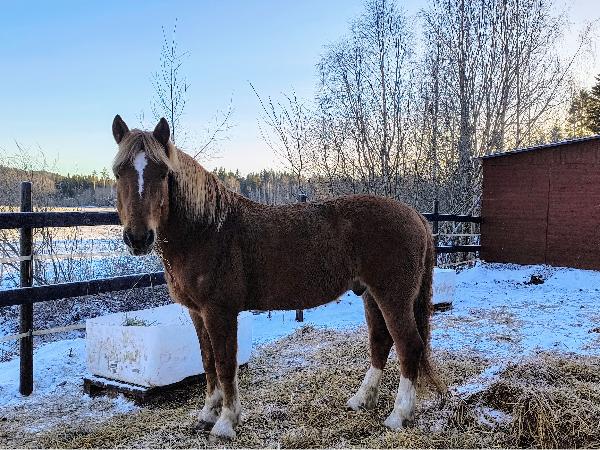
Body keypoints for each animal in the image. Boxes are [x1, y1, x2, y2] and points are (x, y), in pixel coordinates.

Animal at [111, 115, 444, 439]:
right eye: (117, 172)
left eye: (162, 172)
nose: (138, 238)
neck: (207, 231)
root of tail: (416, 216)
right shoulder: (196, 312)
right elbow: (207, 362)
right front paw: (207, 414)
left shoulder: (219, 312)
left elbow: (224, 364)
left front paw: (226, 422)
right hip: (372, 295)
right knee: (380, 342)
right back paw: (362, 400)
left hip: (393, 297)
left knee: (408, 346)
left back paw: (398, 416)